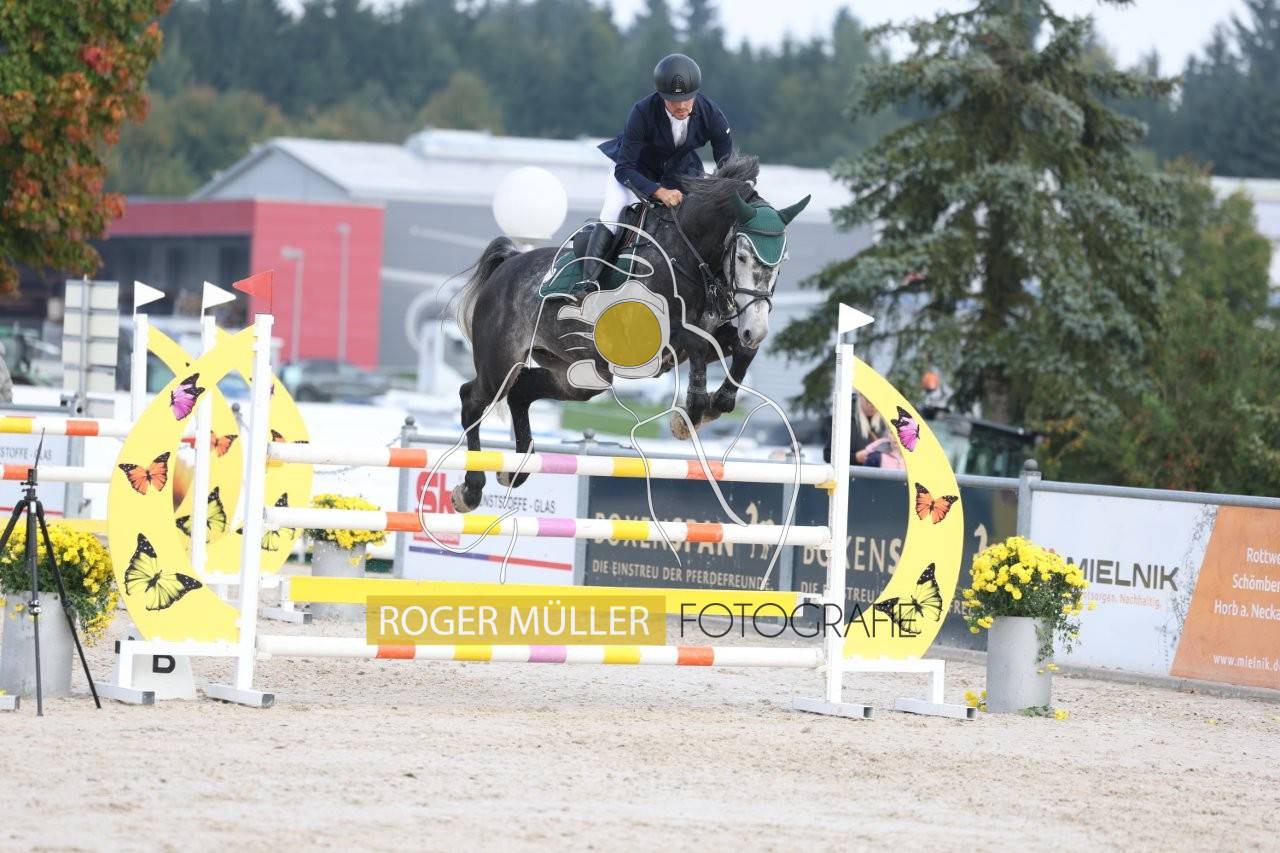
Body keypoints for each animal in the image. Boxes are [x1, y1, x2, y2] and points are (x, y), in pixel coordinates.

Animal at [450, 155, 809, 513]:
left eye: (782, 262)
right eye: (743, 256)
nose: (756, 329)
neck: (687, 258)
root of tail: (509, 264)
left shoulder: (712, 339)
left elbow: (740, 351)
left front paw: (715, 404)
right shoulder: (652, 340)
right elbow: (696, 344)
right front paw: (690, 414)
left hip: (578, 377)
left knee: (521, 392)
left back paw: (515, 471)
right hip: (500, 365)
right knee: (472, 397)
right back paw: (470, 490)